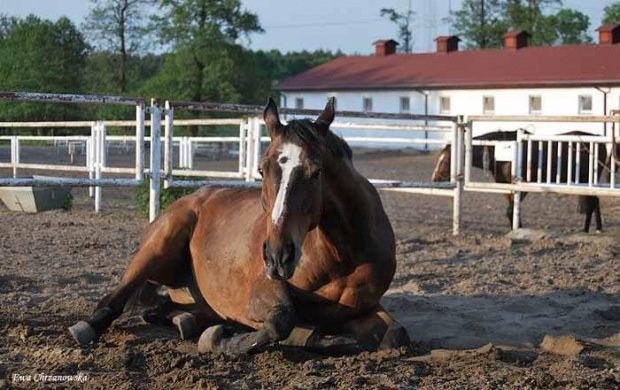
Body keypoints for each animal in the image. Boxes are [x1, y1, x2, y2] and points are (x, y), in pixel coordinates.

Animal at [70, 96, 410, 354]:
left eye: (316, 172)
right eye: (261, 169)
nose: (277, 256)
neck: (343, 256)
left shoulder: (364, 308)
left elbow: (396, 335)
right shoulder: (263, 288)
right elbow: (281, 319)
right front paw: (220, 340)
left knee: (167, 308)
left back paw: (183, 321)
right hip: (156, 249)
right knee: (115, 297)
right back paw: (88, 326)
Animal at [432, 129, 604, 232]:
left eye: (446, 160)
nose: (435, 178)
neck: (505, 155)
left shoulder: (523, 186)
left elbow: (511, 210)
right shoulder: (508, 188)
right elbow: (511, 211)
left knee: (593, 203)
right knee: (593, 202)